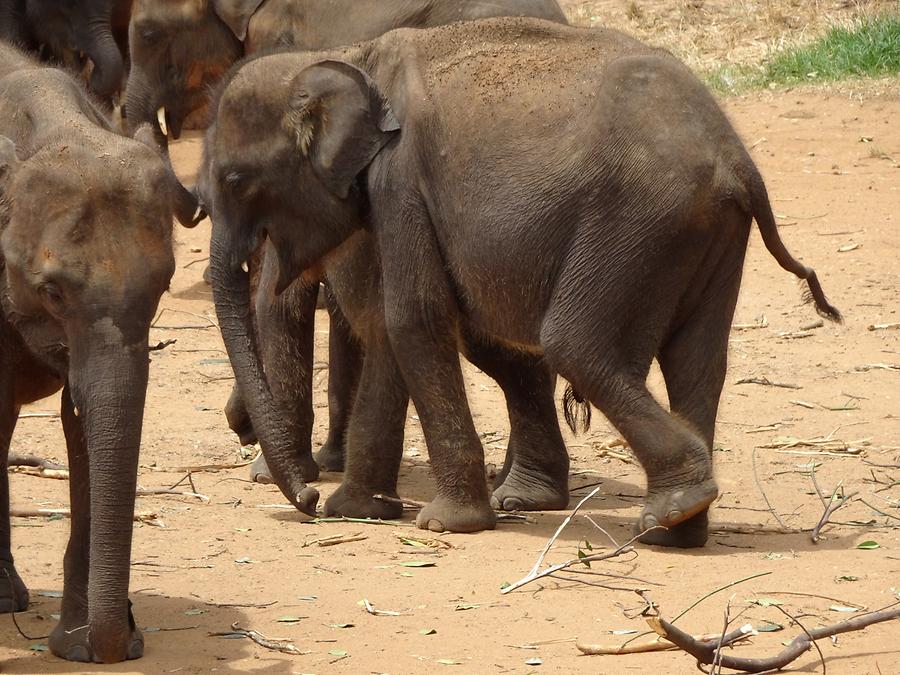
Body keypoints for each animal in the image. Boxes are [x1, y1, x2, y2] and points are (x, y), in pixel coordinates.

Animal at [206, 18, 844, 548]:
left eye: (235, 180)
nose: (308, 500)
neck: (349, 55)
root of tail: (739, 162)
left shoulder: (401, 180)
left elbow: (412, 318)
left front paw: (445, 524)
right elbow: (393, 326)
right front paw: (358, 510)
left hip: (636, 224)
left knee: (576, 344)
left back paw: (677, 504)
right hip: (704, 236)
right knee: (697, 360)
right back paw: (675, 530)